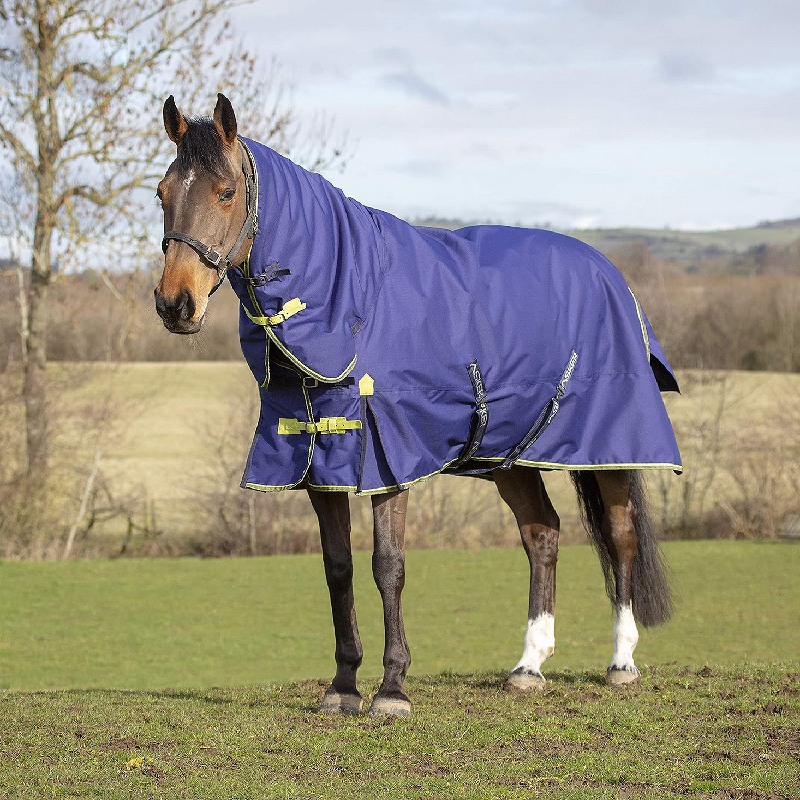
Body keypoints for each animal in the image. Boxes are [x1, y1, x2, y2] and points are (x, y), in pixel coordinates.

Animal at [154, 93, 680, 717]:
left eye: (226, 191)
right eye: (162, 192)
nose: (175, 304)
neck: (350, 300)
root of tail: (610, 274)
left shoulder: (387, 456)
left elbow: (388, 566)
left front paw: (391, 689)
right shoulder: (316, 456)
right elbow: (337, 569)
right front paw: (342, 686)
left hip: (613, 444)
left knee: (621, 535)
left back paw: (621, 662)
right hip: (510, 453)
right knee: (542, 534)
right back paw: (528, 666)